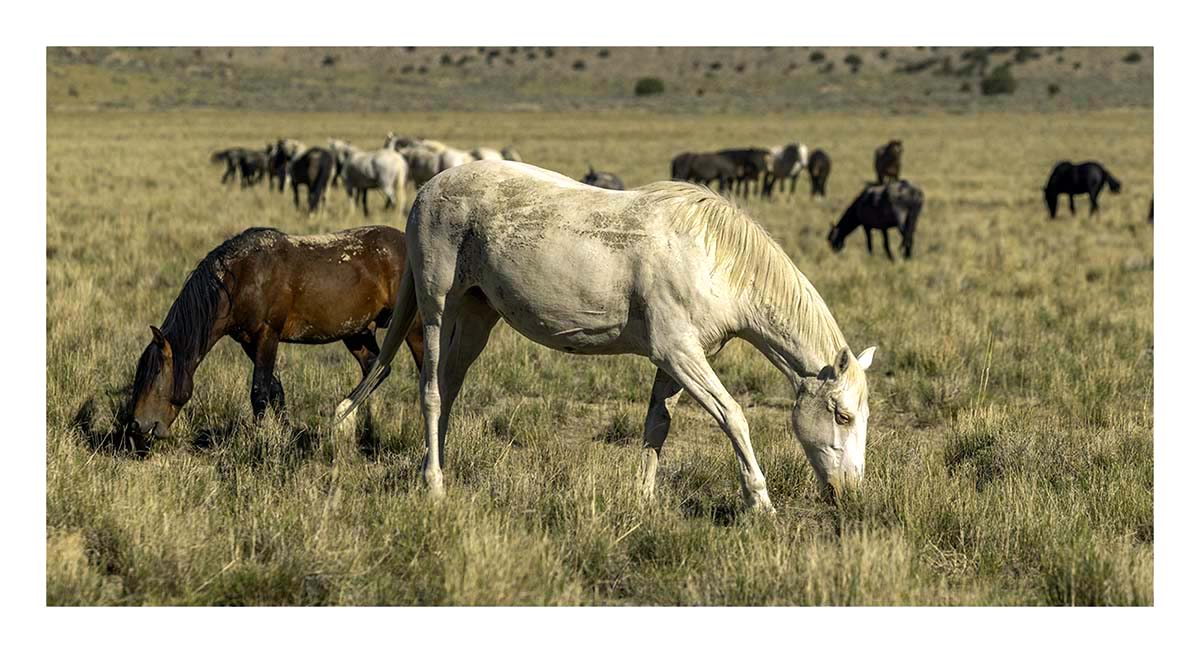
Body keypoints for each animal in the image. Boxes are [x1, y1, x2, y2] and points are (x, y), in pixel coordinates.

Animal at [128, 226, 425, 449]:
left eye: (156, 375)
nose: (137, 425)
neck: (240, 278)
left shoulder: (267, 334)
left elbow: (259, 392)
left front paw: (259, 442)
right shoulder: (248, 341)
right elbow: (275, 390)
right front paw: (287, 436)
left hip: (412, 328)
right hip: (357, 333)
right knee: (377, 369)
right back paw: (347, 421)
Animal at [335, 161, 878, 513]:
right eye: (843, 415)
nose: (851, 493)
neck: (713, 258)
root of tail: (426, 189)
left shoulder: (675, 362)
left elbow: (657, 427)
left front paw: (643, 501)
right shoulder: (680, 354)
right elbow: (733, 417)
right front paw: (760, 503)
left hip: (475, 318)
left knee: (448, 390)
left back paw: (436, 466)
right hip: (435, 308)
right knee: (430, 391)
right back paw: (434, 485)